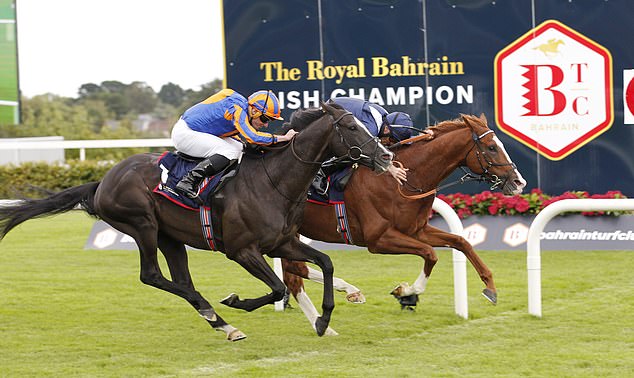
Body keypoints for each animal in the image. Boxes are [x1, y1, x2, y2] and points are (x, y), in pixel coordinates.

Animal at [0, 103, 396, 342]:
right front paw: (237, 300)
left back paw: (222, 323)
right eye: (351, 127)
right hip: (142, 226)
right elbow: (278, 288)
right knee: (152, 276)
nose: (386, 156)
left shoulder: (281, 241)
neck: (275, 180)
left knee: (179, 279)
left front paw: (325, 320)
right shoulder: (242, 250)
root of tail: (103, 181)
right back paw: (218, 314)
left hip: (170, 237)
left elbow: (324, 262)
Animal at [282, 113, 524, 324]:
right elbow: (431, 254)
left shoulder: (416, 230)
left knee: (295, 273)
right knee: (295, 273)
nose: (519, 182)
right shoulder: (378, 239)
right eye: (492, 147)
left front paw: (490, 288)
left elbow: (461, 242)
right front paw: (406, 292)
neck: (404, 181)